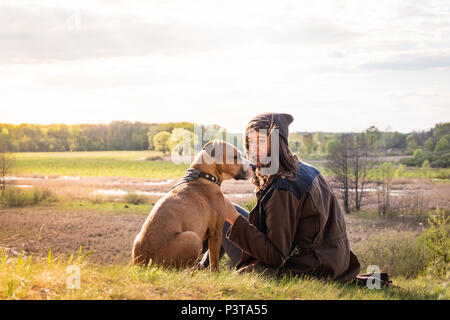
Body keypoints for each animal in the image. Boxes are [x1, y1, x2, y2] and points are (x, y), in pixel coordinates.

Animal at [132, 140, 255, 270]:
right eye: (236, 157)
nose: (254, 166)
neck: (204, 176)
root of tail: (148, 264)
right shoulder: (216, 232)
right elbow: (214, 262)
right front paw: (215, 273)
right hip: (193, 238)